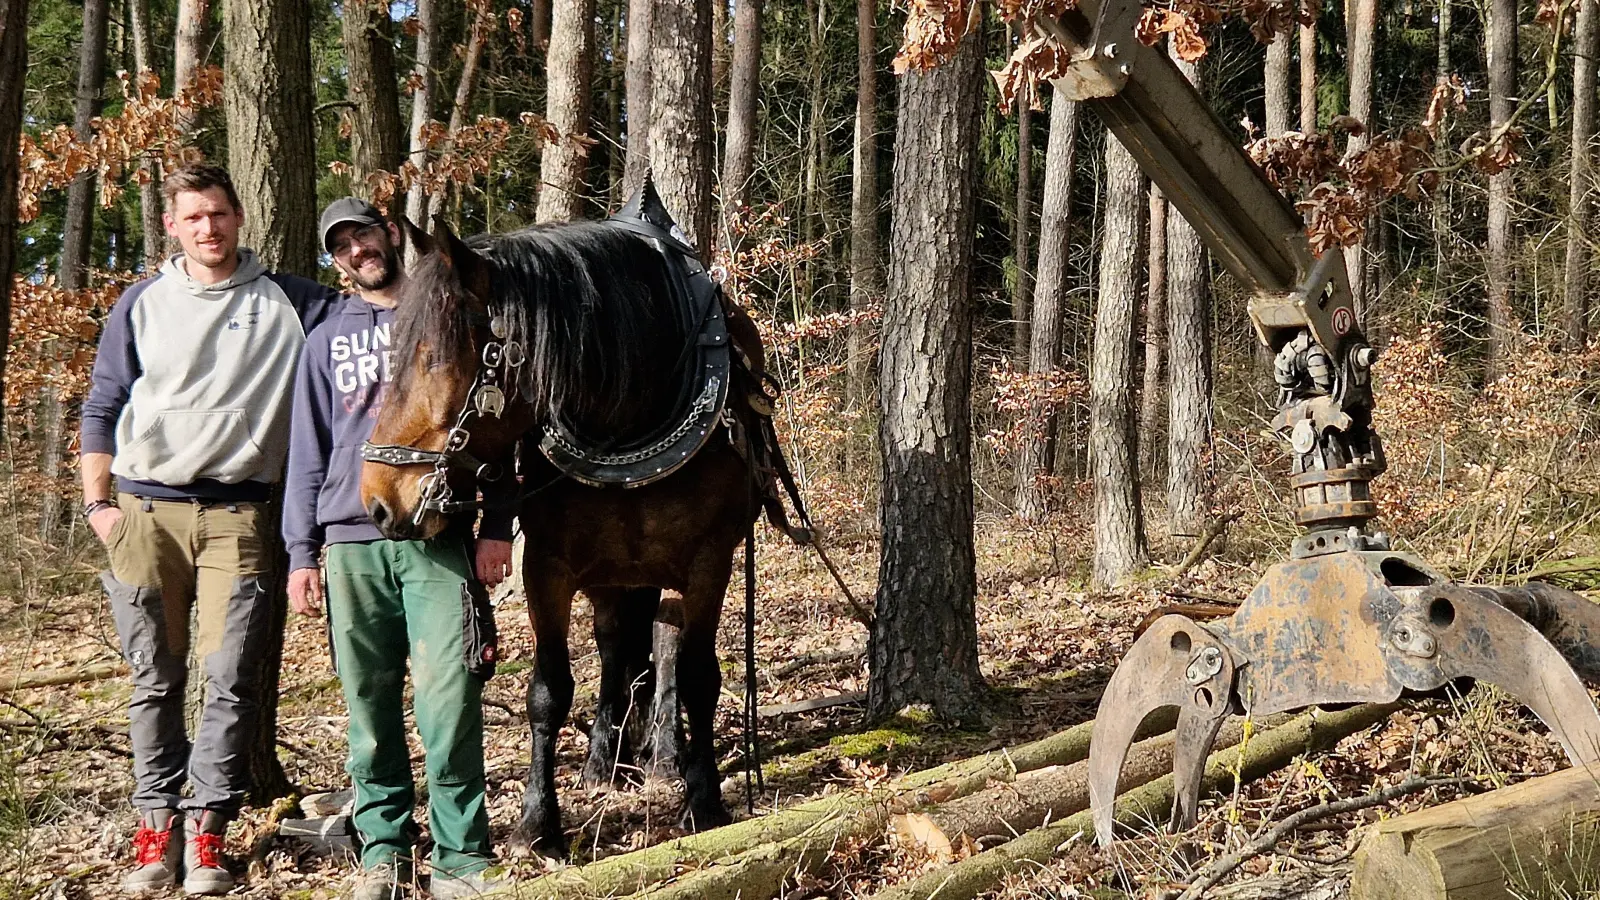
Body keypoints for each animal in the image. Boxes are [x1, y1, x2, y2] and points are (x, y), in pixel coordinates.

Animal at [357, 191, 779, 857]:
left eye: (435, 359)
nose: (377, 501)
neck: (629, 421)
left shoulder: (710, 561)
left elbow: (697, 676)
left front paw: (704, 799)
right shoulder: (546, 568)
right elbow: (549, 691)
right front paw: (538, 822)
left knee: (653, 650)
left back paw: (659, 755)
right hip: (613, 572)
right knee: (613, 646)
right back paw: (607, 758)